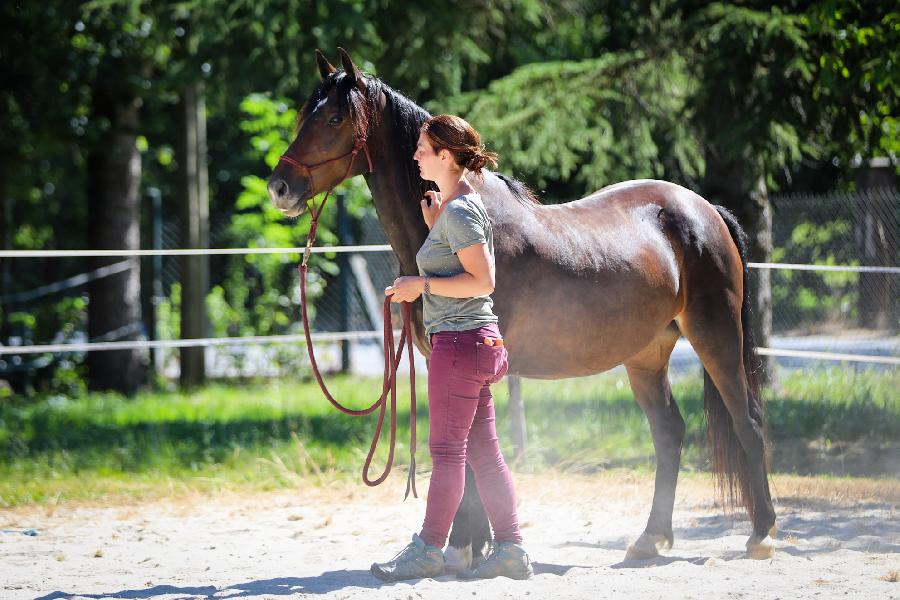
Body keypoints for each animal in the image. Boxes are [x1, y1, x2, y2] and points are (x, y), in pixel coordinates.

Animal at [266, 48, 772, 568]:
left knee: (747, 420)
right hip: (647, 355)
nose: (279, 187)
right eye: (305, 113)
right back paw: (650, 539)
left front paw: (464, 546)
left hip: (715, 336)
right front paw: (474, 546)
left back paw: (761, 535)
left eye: (333, 117)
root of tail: (705, 210)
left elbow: (469, 448)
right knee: (669, 431)